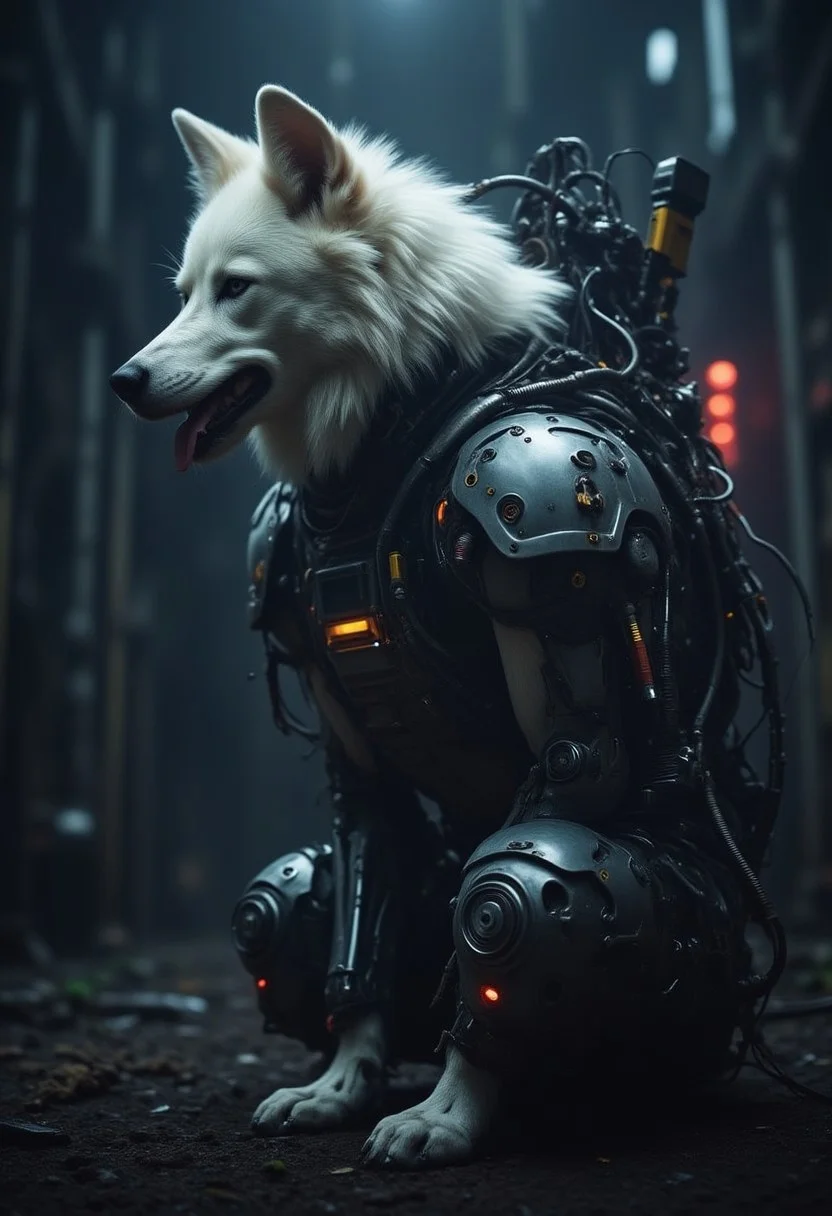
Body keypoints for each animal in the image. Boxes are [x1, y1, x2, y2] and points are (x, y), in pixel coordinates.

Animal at [112, 85, 756, 1169]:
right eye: (186, 290)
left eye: (236, 290)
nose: (123, 380)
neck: (400, 407)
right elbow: (365, 841)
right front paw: (342, 1081)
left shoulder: (537, 484)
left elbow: (563, 789)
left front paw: (451, 1108)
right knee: (277, 906)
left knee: (506, 891)